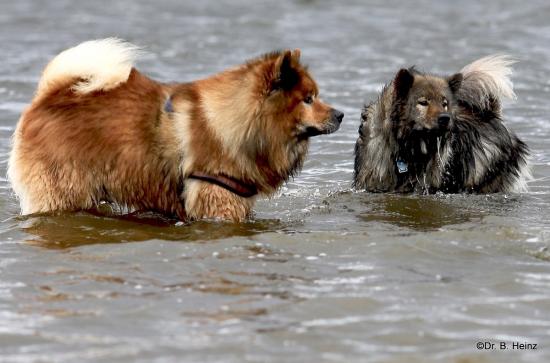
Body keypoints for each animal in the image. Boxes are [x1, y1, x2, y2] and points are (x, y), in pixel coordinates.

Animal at [7, 39, 344, 222]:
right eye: (308, 99)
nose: (341, 115)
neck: (236, 121)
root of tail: (48, 96)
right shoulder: (217, 200)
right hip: (64, 192)